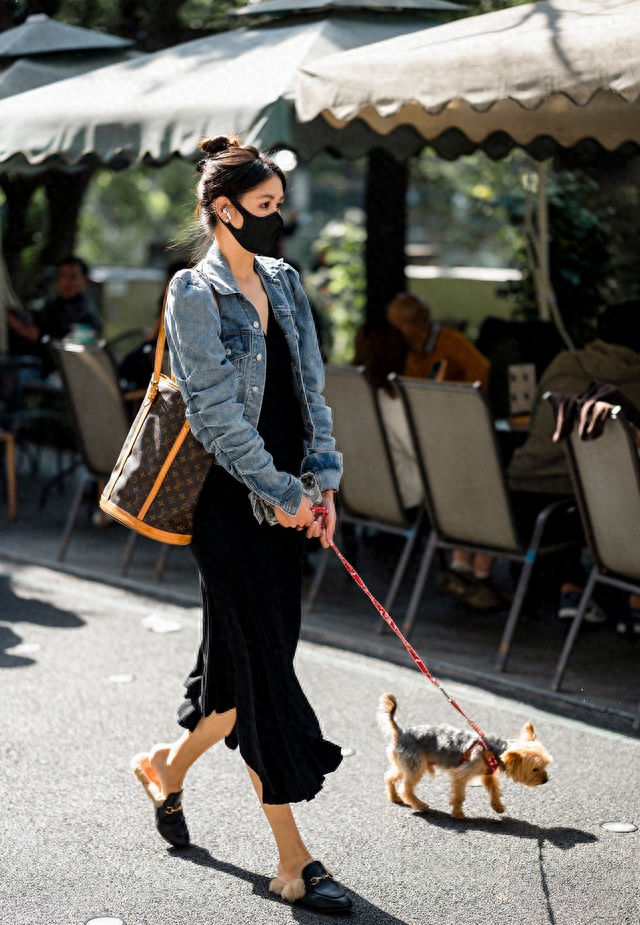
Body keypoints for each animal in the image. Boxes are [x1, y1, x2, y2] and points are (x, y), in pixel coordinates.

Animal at [378, 692, 552, 816]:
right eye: (535, 769)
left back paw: (394, 797)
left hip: (406, 763)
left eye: (545, 766)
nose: (546, 780)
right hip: (416, 765)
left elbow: (494, 789)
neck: (494, 750)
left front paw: (498, 807)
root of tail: (400, 731)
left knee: (390, 776)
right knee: (406, 788)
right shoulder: (461, 774)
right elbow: (459, 795)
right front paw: (458, 813)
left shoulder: (488, 775)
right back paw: (420, 805)